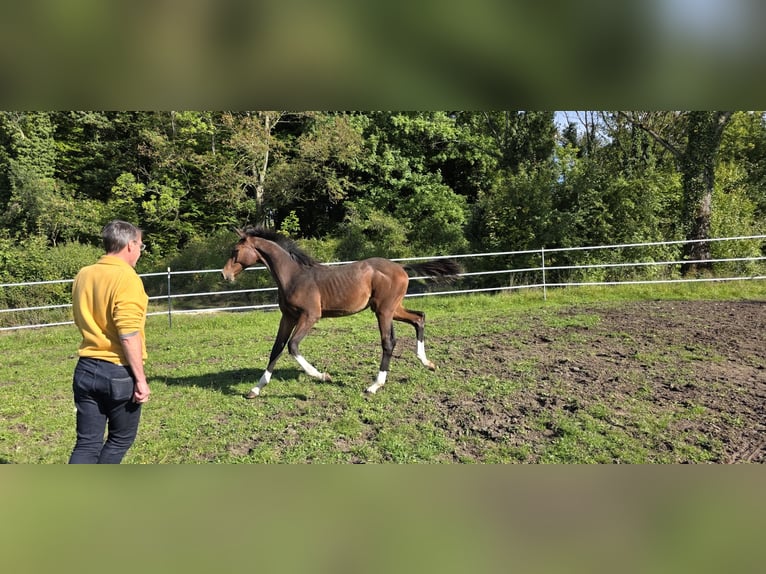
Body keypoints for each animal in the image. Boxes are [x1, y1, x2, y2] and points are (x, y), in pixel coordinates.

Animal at [221, 227, 460, 397]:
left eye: (235, 251)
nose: (225, 275)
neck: (293, 276)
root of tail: (401, 267)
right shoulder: (288, 316)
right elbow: (276, 348)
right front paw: (255, 389)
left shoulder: (310, 316)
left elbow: (292, 346)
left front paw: (323, 376)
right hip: (392, 309)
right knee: (419, 318)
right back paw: (427, 363)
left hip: (384, 310)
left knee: (388, 342)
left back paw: (374, 386)